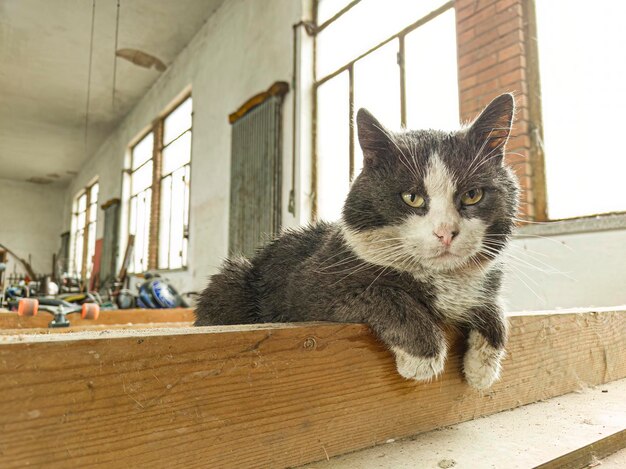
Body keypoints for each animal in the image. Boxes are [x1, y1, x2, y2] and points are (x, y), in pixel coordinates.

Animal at [194, 93, 516, 390]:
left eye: (473, 195)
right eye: (412, 197)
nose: (446, 232)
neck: (443, 279)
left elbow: (495, 306)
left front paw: (482, 368)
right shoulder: (308, 288)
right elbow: (384, 293)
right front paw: (424, 358)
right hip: (233, 280)